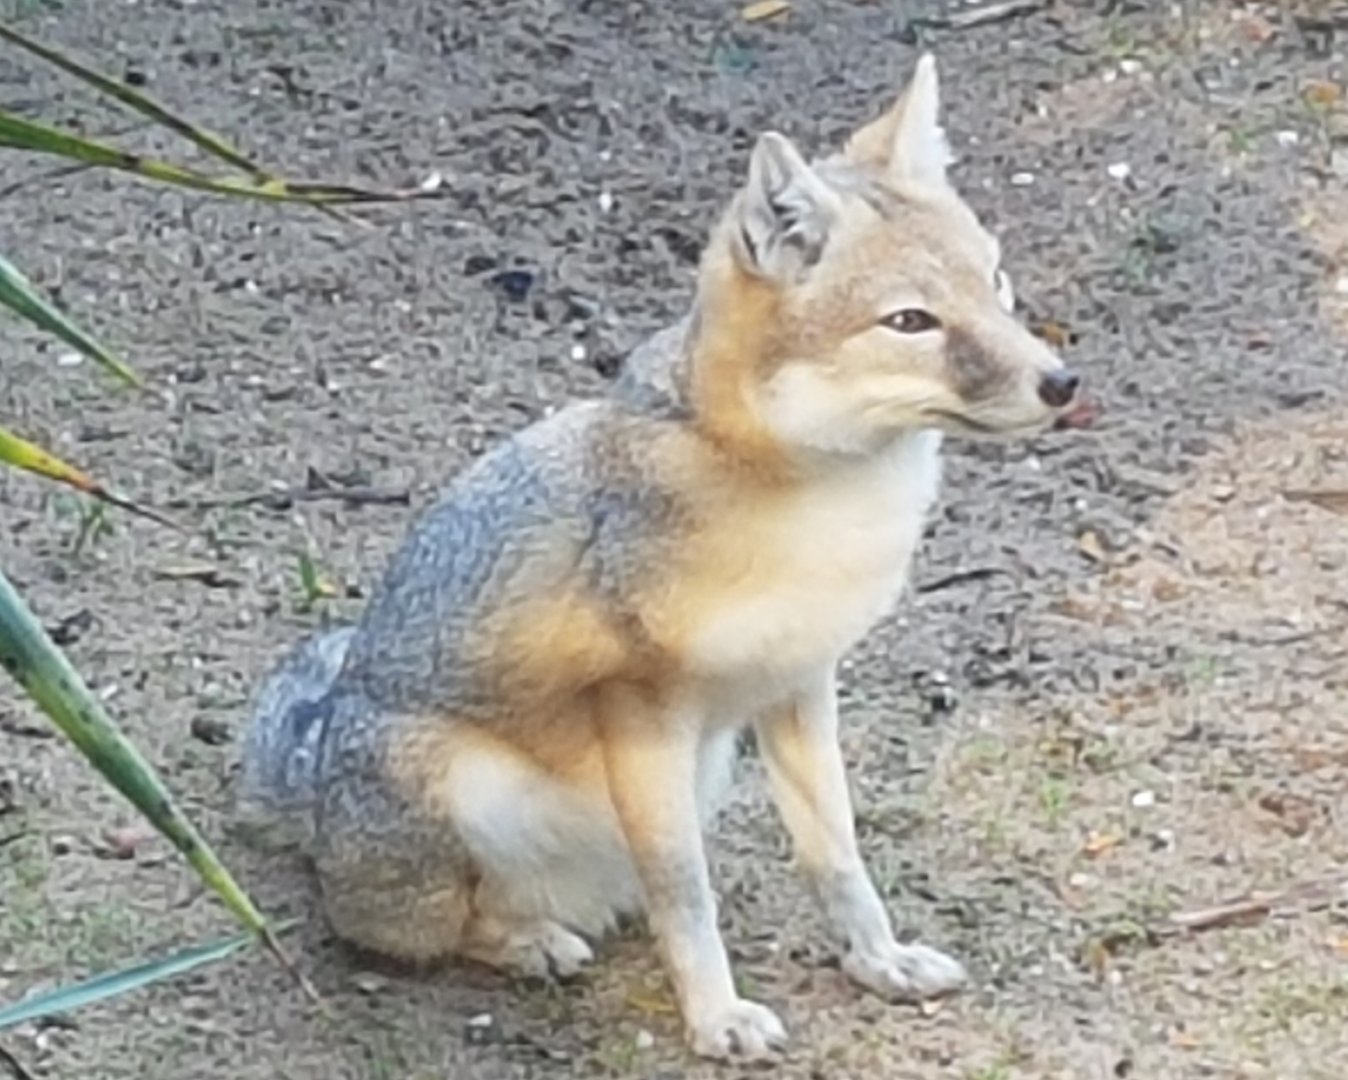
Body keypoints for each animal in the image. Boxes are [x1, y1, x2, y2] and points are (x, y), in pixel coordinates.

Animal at [238, 54, 1087, 1061]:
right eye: (912, 321)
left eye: (996, 282)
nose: (1063, 382)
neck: (815, 503)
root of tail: (315, 799)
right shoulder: (643, 715)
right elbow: (687, 893)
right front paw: (716, 1018)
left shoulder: (800, 687)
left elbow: (836, 853)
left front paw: (876, 960)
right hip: (468, 783)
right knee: (422, 927)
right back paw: (529, 940)